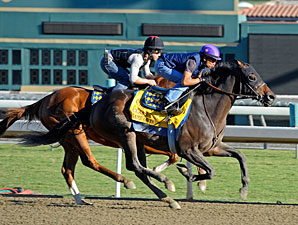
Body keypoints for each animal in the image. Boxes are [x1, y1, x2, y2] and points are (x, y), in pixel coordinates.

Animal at [22, 59, 276, 209]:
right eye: (252, 77)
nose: (271, 97)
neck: (207, 107)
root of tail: (96, 105)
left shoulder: (210, 148)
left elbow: (240, 156)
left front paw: (243, 188)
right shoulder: (188, 149)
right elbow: (209, 170)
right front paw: (188, 175)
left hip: (129, 140)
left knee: (131, 169)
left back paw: (168, 198)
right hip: (120, 134)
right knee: (129, 165)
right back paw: (161, 183)